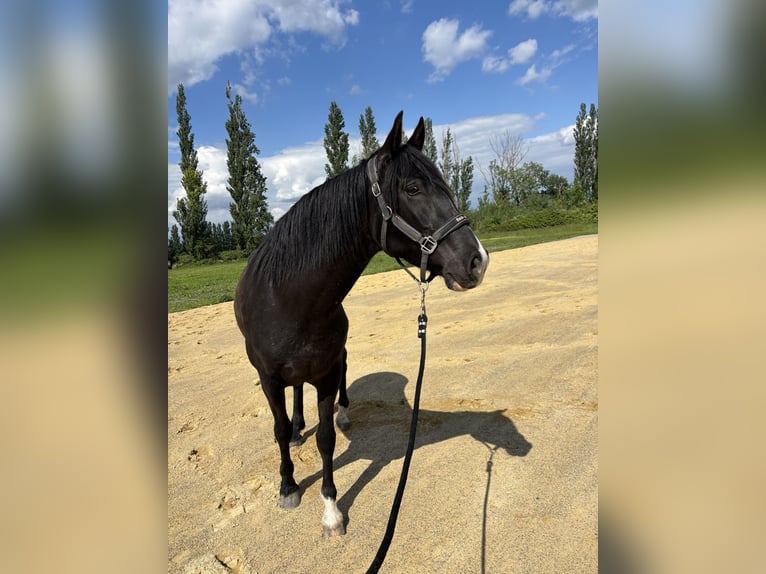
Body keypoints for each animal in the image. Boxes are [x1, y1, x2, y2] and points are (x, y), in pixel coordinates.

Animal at [234, 111, 489, 537]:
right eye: (413, 188)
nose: (478, 260)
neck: (286, 300)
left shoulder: (324, 374)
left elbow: (325, 438)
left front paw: (331, 511)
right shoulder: (268, 378)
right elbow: (279, 430)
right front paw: (288, 487)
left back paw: (343, 413)